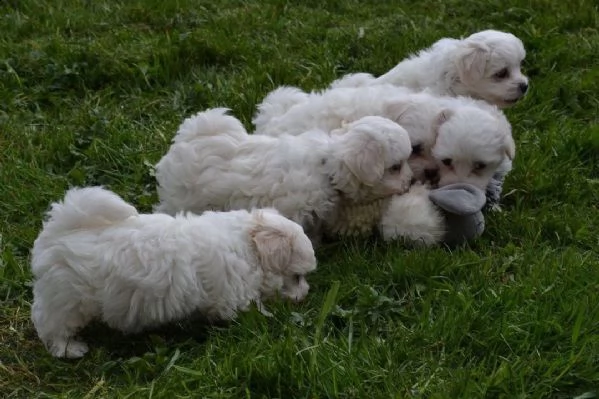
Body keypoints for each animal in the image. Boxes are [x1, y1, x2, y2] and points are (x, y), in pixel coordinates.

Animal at [31, 188, 318, 360]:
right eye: (297, 277)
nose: (305, 294)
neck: (247, 244)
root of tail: (59, 232)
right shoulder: (234, 295)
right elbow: (249, 311)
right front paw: (270, 318)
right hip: (68, 299)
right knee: (51, 325)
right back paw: (69, 349)